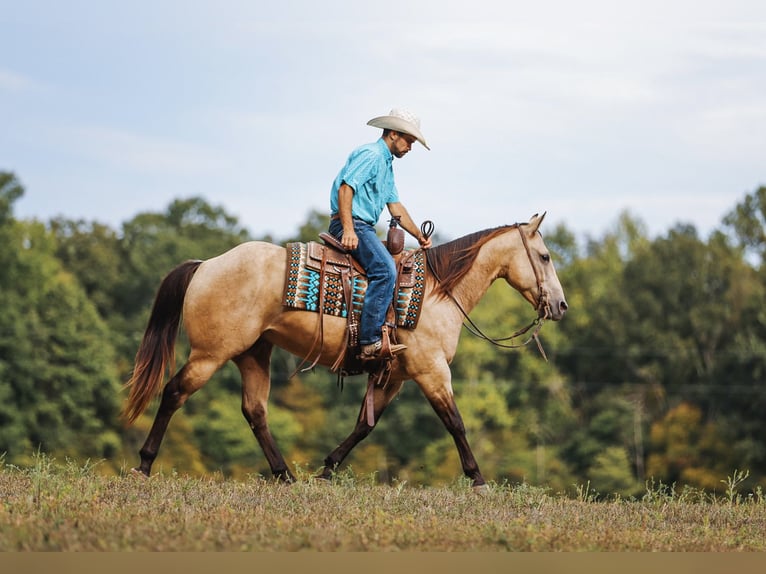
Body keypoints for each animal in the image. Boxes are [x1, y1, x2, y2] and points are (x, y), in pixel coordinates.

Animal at [123, 212, 567, 489]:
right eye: (545, 256)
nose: (561, 305)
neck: (438, 293)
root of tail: (206, 264)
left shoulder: (394, 376)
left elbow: (363, 427)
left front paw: (326, 470)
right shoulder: (431, 371)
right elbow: (456, 422)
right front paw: (478, 480)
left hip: (253, 353)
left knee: (255, 411)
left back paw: (286, 476)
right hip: (210, 354)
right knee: (174, 393)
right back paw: (144, 464)